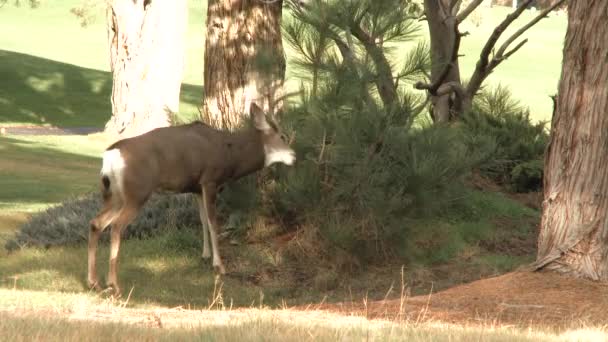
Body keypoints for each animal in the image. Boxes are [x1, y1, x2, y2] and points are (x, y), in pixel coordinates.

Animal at [86, 102, 296, 296]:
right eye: (283, 137)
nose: (294, 156)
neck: (230, 154)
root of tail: (110, 156)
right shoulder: (210, 180)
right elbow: (213, 222)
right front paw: (219, 266)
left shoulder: (196, 188)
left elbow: (203, 220)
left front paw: (205, 255)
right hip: (137, 192)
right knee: (116, 227)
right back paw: (114, 285)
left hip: (115, 195)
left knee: (96, 223)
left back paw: (94, 282)